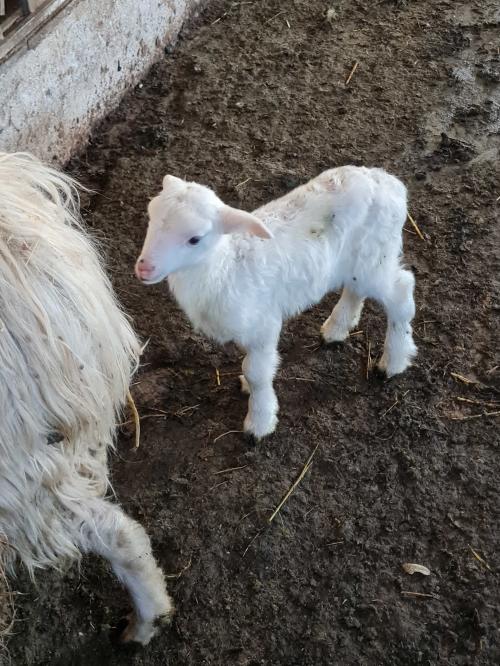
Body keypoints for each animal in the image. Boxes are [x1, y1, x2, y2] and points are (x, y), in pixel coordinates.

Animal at [135, 165, 416, 440]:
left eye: (195, 239)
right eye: (150, 217)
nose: (144, 268)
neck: (225, 268)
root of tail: (391, 183)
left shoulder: (264, 325)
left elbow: (256, 373)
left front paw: (259, 422)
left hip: (376, 257)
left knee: (402, 292)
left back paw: (393, 362)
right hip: (358, 263)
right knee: (356, 289)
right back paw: (337, 329)